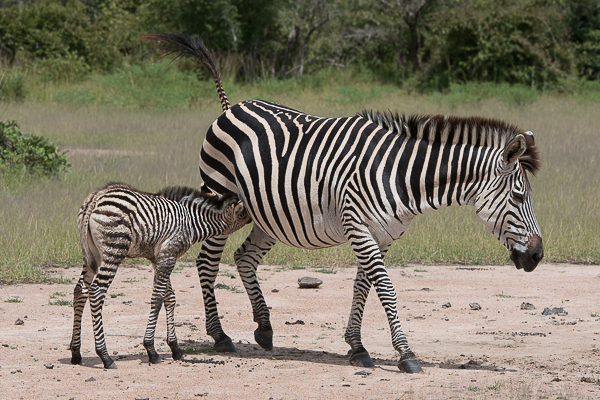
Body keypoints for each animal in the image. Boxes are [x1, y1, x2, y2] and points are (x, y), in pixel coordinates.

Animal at [69, 183, 250, 368]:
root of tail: (96, 198)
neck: (191, 222)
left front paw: (175, 348)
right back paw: (105, 356)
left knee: (80, 291)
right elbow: (157, 298)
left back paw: (76, 353)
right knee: (96, 292)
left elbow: (169, 297)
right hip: (114, 249)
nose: (255, 218)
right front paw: (151, 350)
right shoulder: (168, 256)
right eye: (245, 212)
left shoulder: (159, 258)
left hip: (92, 254)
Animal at [142, 33, 544, 372]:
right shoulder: (358, 226)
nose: (538, 255)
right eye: (520, 196)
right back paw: (220, 336)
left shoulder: (381, 234)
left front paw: (356, 346)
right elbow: (385, 286)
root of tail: (230, 107)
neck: (400, 176)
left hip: (269, 214)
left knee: (244, 257)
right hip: (220, 196)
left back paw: (264, 327)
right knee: (208, 263)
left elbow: (363, 284)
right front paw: (406, 353)